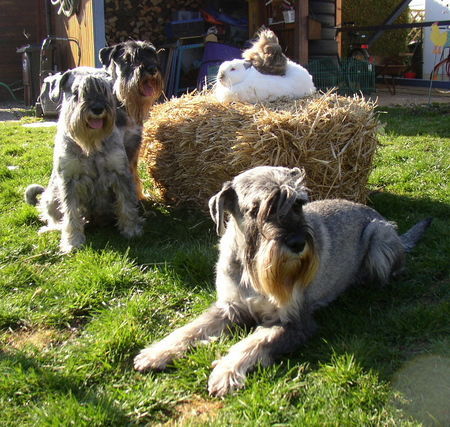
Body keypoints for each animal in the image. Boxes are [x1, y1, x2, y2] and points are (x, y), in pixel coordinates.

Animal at [25, 67, 144, 254]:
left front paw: (132, 230)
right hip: (52, 196)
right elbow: (71, 213)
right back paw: (52, 228)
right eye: (76, 92)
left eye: (105, 90)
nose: (97, 108)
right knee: (52, 215)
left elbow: (127, 204)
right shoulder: (70, 181)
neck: (91, 144)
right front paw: (72, 242)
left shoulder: (120, 174)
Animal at [98, 41, 163, 200]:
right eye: (128, 59)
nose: (152, 69)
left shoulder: (134, 143)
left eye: (152, 55)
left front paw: (139, 195)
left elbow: (133, 171)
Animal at [134, 166, 432, 396]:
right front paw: (156, 352)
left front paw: (226, 371)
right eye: (256, 209)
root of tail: (378, 215)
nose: (298, 243)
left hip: (379, 237)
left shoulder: (294, 322)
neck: (252, 269)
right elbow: (191, 328)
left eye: (298, 203)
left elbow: (254, 341)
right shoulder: (229, 307)